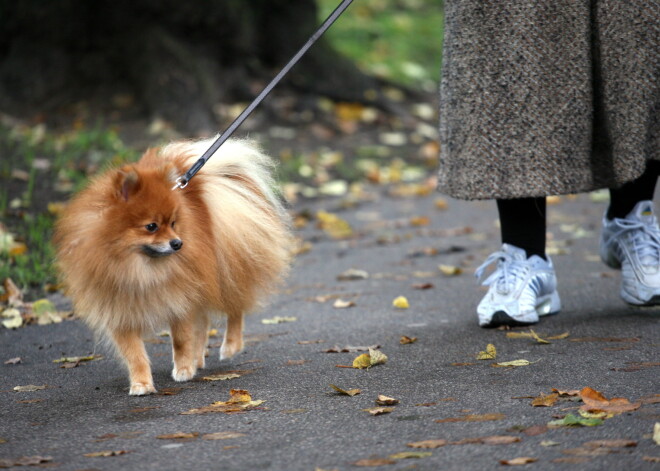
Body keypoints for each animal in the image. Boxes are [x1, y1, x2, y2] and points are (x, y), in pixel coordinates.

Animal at [55, 138, 292, 396]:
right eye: (151, 226)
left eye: (173, 223)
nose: (178, 243)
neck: (139, 269)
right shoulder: (119, 307)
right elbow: (134, 352)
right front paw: (141, 383)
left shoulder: (178, 297)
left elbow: (180, 339)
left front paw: (184, 369)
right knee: (204, 322)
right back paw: (198, 357)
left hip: (224, 269)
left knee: (234, 308)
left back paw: (230, 346)